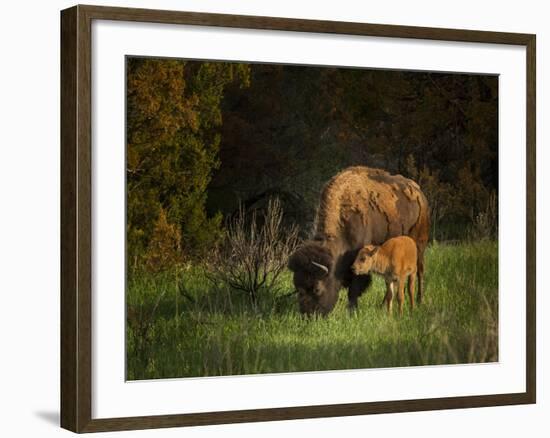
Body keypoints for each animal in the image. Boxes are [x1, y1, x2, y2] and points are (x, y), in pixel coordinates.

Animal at [288, 166, 432, 316]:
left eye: (316, 288)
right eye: (298, 287)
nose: (308, 315)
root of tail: (420, 193)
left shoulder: (359, 259)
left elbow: (354, 288)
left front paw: (352, 311)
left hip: (420, 245)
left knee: (420, 271)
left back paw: (420, 301)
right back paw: (383, 306)